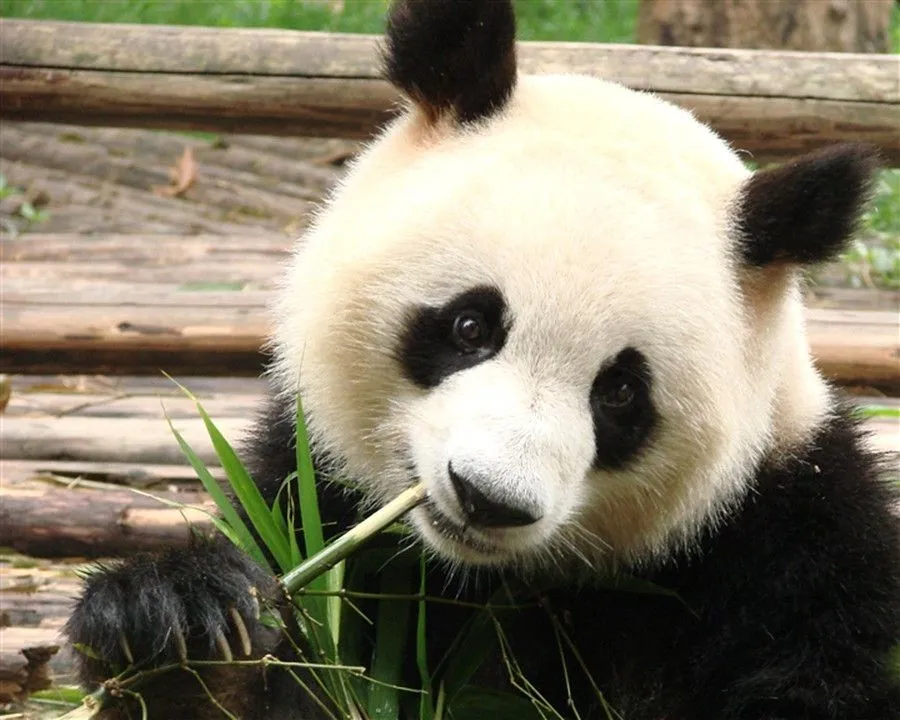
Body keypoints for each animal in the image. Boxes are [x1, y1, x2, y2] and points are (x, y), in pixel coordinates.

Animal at [65, 1, 899, 718]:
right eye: (470, 326)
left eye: (620, 393)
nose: (489, 497)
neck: (485, 578)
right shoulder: (315, 493)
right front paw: (177, 626)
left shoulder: (787, 544)